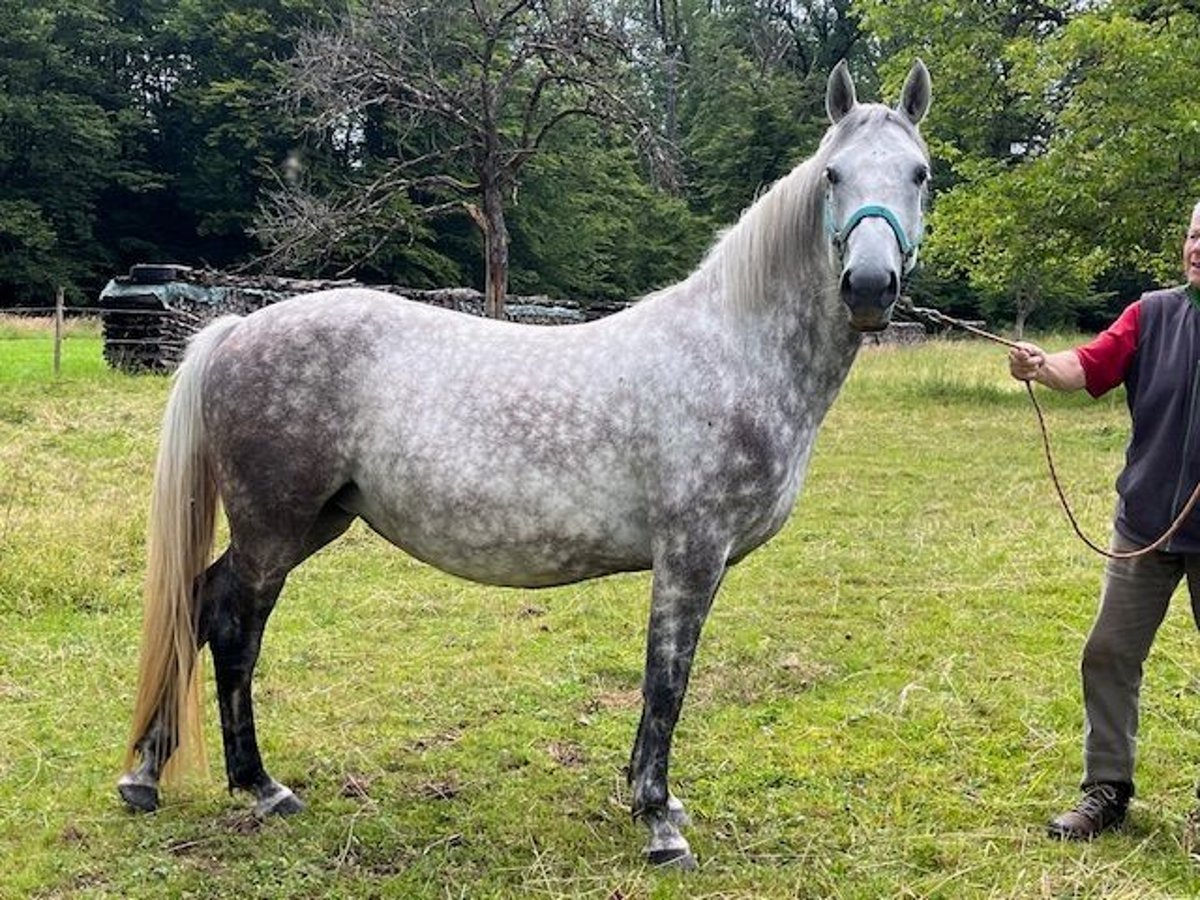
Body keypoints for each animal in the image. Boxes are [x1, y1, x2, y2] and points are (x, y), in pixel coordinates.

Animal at [117, 60, 931, 868]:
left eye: (919, 174)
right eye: (832, 174)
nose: (868, 286)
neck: (732, 349)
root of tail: (236, 328)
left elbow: (663, 684)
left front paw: (650, 798)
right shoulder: (691, 554)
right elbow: (667, 680)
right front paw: (659, 822)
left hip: (315, 522)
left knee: (199, 606)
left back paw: (146, 775)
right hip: (273, 529)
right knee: (233, 627)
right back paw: (259, 787)